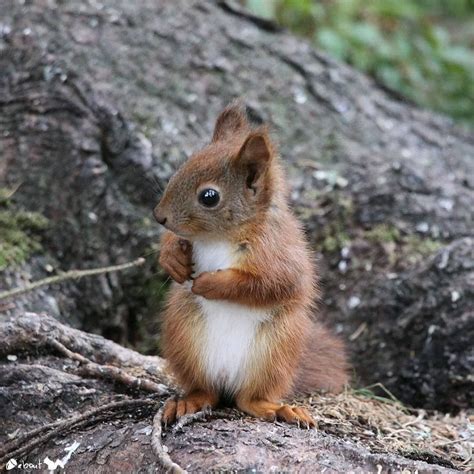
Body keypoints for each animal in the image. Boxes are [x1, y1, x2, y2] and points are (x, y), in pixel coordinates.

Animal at [155, 102, 348, 428]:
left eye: (209, 197)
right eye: (184, 166)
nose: (159, 216)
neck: (220, 236)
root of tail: (226, 380)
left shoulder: (280, 255)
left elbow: (267, 285)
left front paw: (210, 283)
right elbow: (175, 242)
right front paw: (172, 258)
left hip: (276, 351)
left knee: (249, 399)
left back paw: (278, 409)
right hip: (185, 336)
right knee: (205, 390)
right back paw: (189, 401)